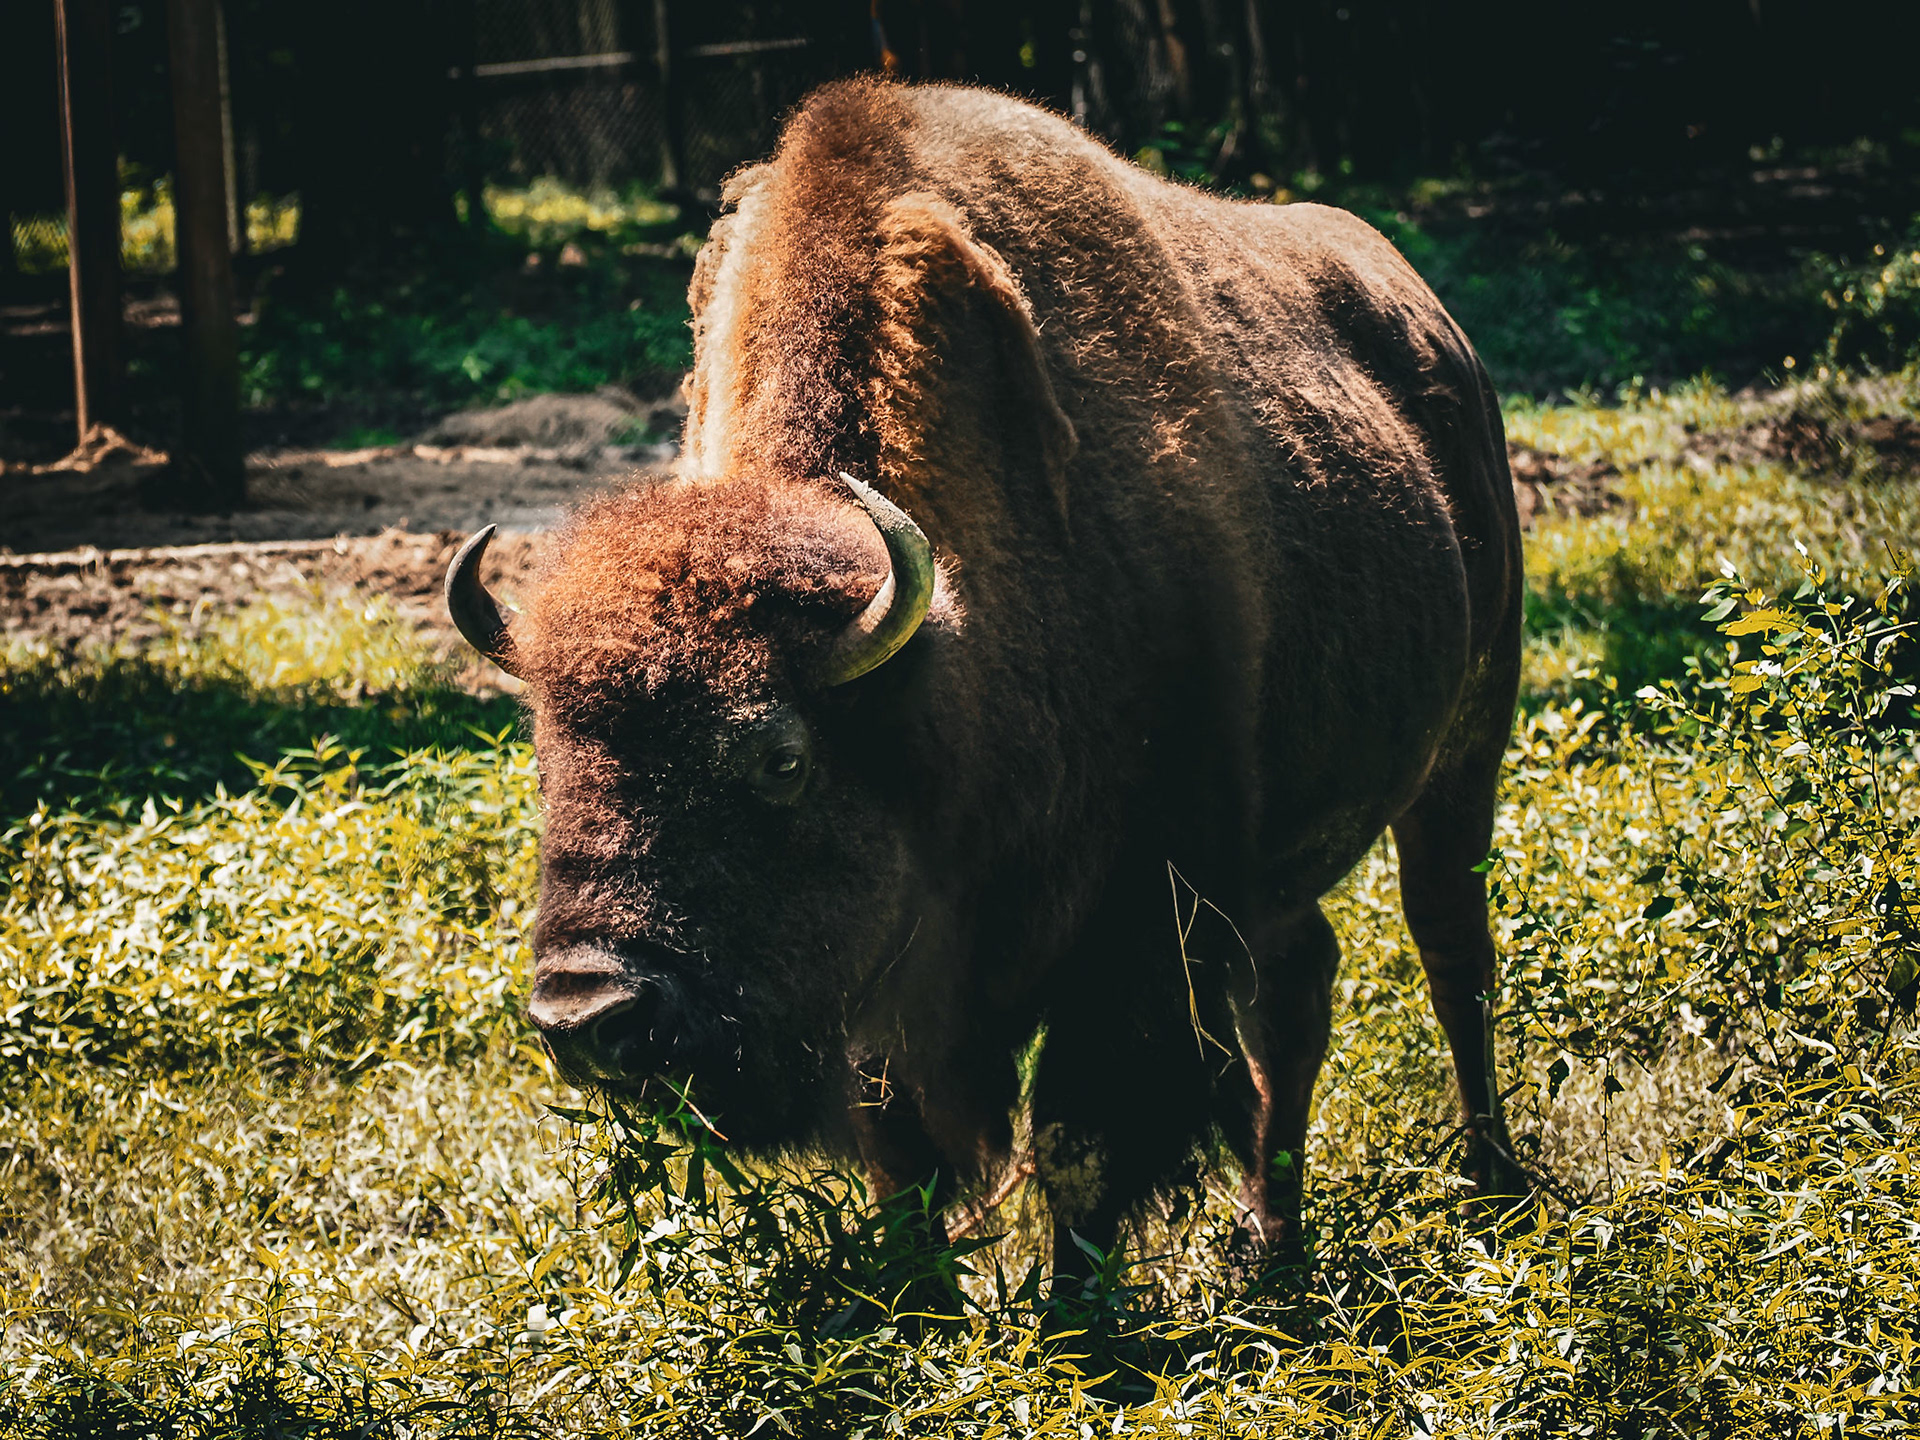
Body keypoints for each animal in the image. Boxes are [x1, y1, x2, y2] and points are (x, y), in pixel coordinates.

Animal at [448, 79, 1524, 1271]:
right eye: (547, 764)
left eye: (779, 757)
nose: (587, 1017)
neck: (939, 657)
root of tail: (1437, 332)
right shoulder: (888, 998)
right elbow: (905, 1175)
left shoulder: (1139, 935)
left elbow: (1081, 1150)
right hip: (1283, 862)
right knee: (1297, 993)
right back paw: (1272, 1243)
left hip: (1468, 741)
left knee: (1451, 949)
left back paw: (1492, 1190)